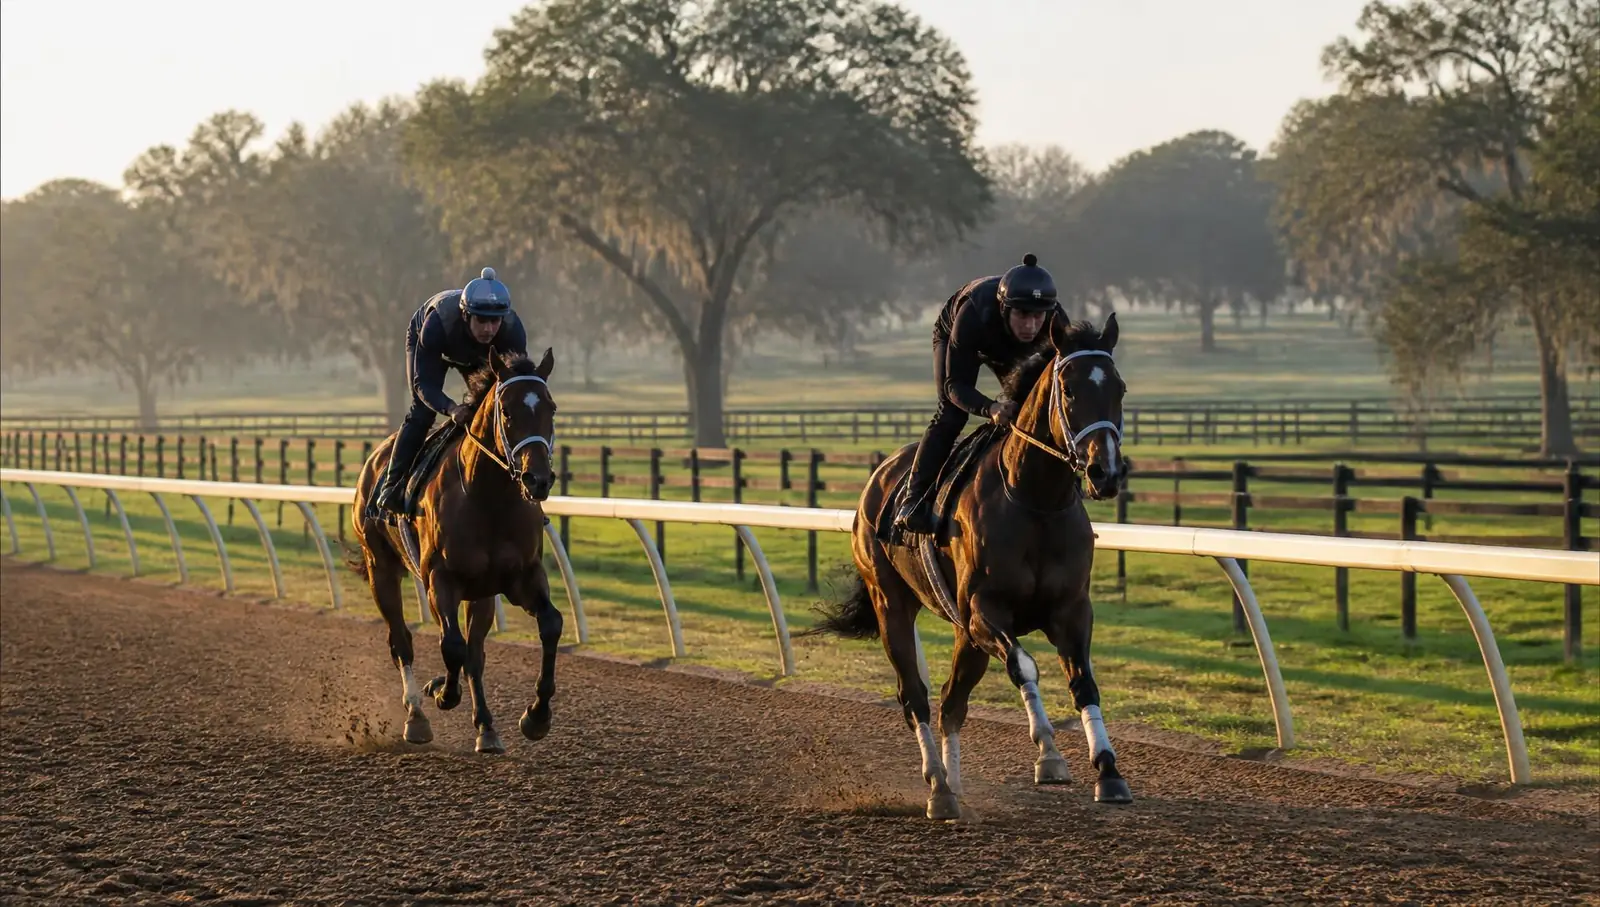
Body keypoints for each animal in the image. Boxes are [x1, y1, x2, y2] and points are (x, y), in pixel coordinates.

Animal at [348, 348, 562, 755]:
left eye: (551, 407)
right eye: (507, 411)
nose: (538, 480)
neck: (488, 499)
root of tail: (374, 458)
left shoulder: (521, 577)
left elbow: (550, 625)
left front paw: (537, 716)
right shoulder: (440, 579)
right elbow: (451, 646)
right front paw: (442, 693)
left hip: (482, 592)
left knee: (475, 653)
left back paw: (486, 728)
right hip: (381, 568)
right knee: (402, 642)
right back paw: (417, 715)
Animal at [806, 313, 1130, 819]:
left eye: (1119, 388)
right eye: (1069, 390)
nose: (1106, 472)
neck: (1034, 501)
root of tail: (878, 478)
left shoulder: (1071, 610)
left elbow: (1084, 682)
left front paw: (1109, 771)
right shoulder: (984, 611)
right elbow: (1024, 666)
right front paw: (1049, 754)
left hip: (965, 636)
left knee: (950, 700)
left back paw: (953, 784)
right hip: (892, 605)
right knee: (915, 697)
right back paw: (939, 787)